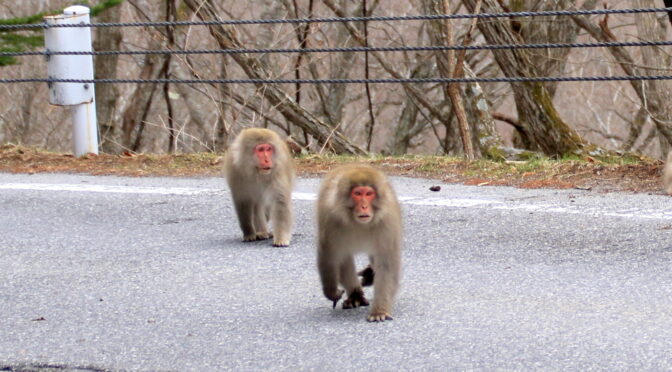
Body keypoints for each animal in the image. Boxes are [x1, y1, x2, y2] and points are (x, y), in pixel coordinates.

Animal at [316, 164, 400, 322]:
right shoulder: (330, 219)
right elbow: (330, 255)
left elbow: (386, 263)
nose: (364, 207)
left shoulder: (387, 221)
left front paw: (379, 310)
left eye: (369, 194)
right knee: (343, 256)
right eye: (358, 193)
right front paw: (332, 292)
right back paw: (356, 295)